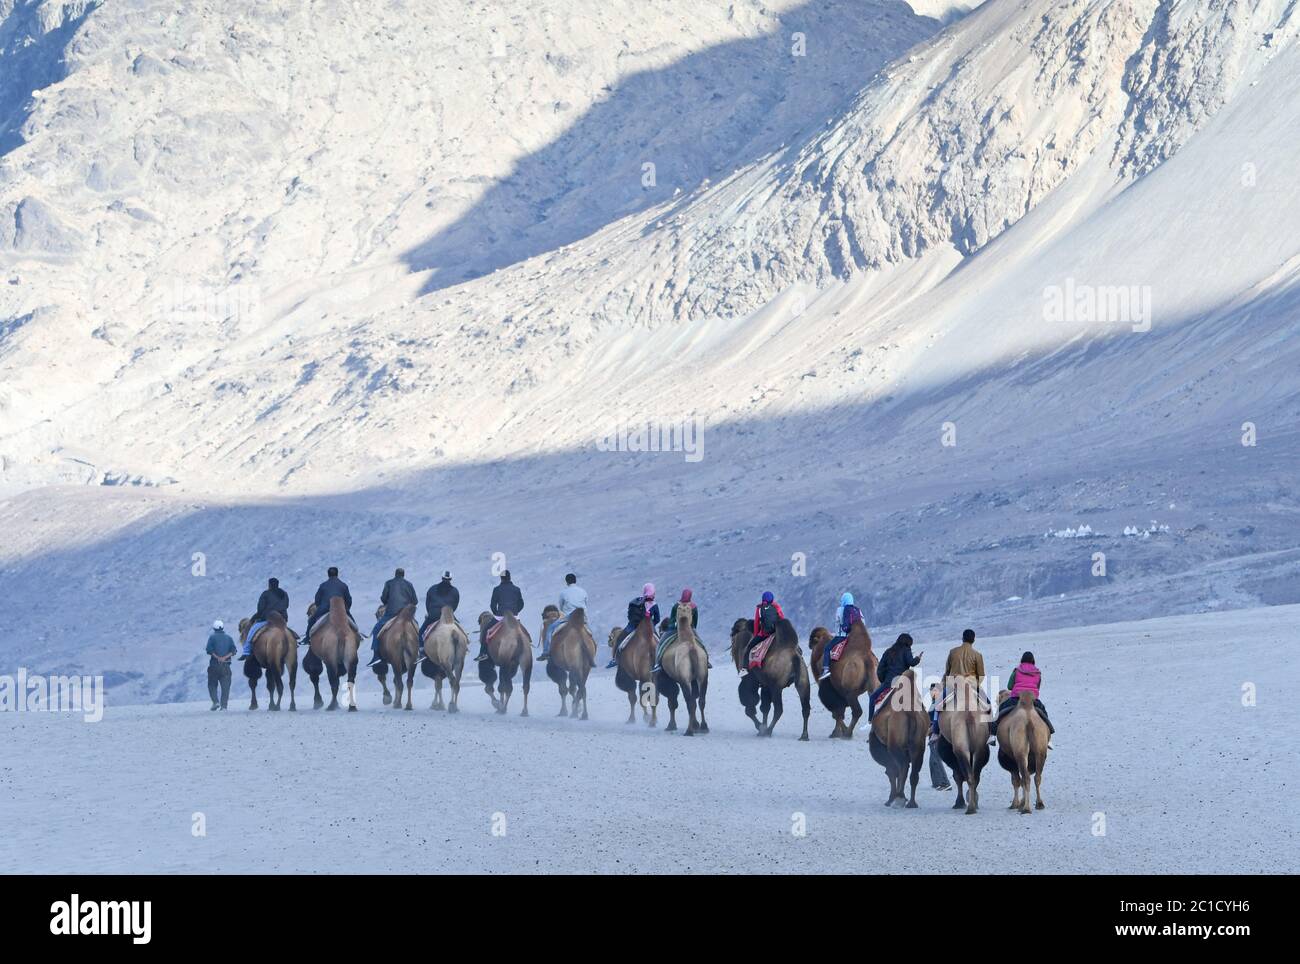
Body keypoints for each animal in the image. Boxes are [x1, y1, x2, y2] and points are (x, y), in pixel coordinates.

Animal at [660, 608, 712, 737]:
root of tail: (692, 650)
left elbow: (672, 700)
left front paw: (671, 726)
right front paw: (697, 725)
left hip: (684, 679)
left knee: (689, 703)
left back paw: (689, 731)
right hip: (703, 677)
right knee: (701, 701)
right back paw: (703, 727)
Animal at [728, 615, 806, 743]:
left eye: (734, 632)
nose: (732, 635)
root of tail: (794, 657)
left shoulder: (750, 680)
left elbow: (750, 705)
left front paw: (761, 728)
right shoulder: (765, 685)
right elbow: (764, 707)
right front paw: (762, 728)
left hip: (776, 688)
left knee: (778, 709)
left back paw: (769, 731)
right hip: (800, 683)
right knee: (804, 707)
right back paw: (803, 735)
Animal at [868, 670, 930, 805]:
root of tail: (910, 713)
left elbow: (891, 771)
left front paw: (890, 799)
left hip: (895, 745)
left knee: (903, 766)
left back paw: (899, 797)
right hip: (918, 746)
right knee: (914, 772)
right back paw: (911, 802)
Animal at [935, 680, 993, 815]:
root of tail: (969, 714)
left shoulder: (950, 753)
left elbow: (957, 776)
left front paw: (959, 802)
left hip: (960, 749)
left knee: (967, 775)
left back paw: (970, 807)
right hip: (979, 749)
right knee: (974, 776)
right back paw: (973, 804)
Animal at [998, 685, 1050, 815]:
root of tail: (1029, 721)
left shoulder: (1010, 761)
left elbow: (1016, 781)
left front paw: (1015, 804)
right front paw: (1020, 803)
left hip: (1019, 752)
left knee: (1025, 779)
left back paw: (1026, 808)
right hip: (1040, 750)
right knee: (1037, 777)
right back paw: (1039, 804)